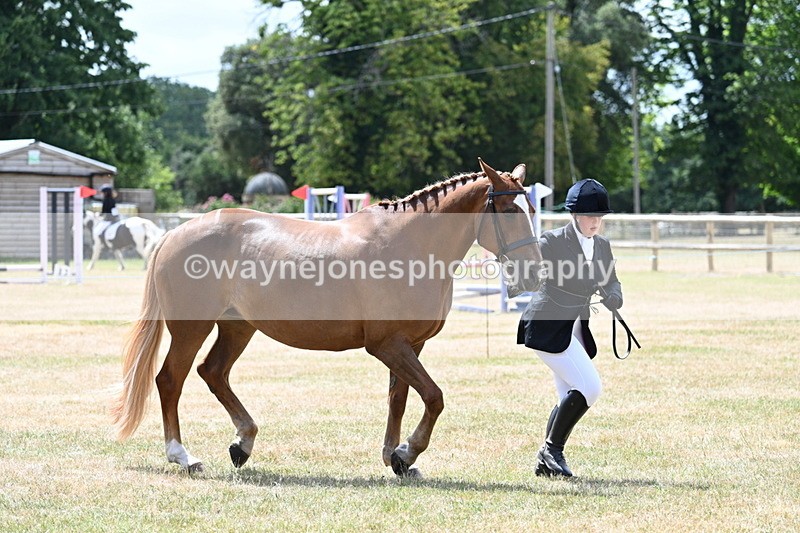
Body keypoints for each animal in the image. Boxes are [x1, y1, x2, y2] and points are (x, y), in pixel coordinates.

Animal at [111, 159, 544, 477]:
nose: (534, 273)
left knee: (213, 372)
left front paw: (396, 458)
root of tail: (174, 234)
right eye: (509, 211)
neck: (409, 244)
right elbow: (434, 397)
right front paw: (408, 453)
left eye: (533, 209)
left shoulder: (408, 346)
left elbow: (400, 398)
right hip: (192, 329)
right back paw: (183, 455)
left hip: (238, 327)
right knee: (171, 380)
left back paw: (242, 443)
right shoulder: (387, 345)